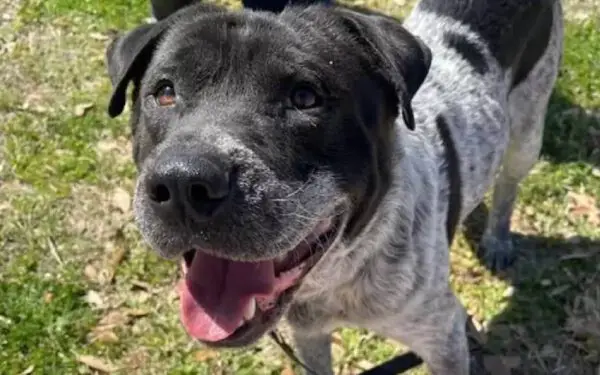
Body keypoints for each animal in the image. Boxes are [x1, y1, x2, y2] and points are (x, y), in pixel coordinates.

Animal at [104, 1, 564, 374]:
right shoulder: (310, 335)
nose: (184, 183)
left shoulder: (443, 338)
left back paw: (498, 239)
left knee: (508, 183)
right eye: (165, 92)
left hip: (528, 129)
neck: (337, 274)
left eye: (305, 98)